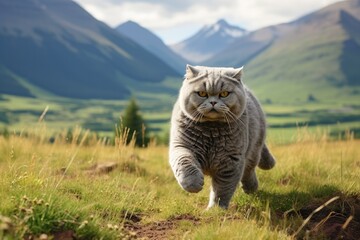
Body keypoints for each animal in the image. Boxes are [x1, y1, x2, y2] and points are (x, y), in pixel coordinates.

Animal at [169, 64, 276, 209]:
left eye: (224, 94)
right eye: (202, 93)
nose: (213, 102)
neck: (210, 133)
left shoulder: (230, 160)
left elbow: (222, 190)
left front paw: (215, 209)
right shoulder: (182, 146)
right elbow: (185, 164)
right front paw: (194, 184)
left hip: (255, 146)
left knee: (249, 169)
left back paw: (250, 187)